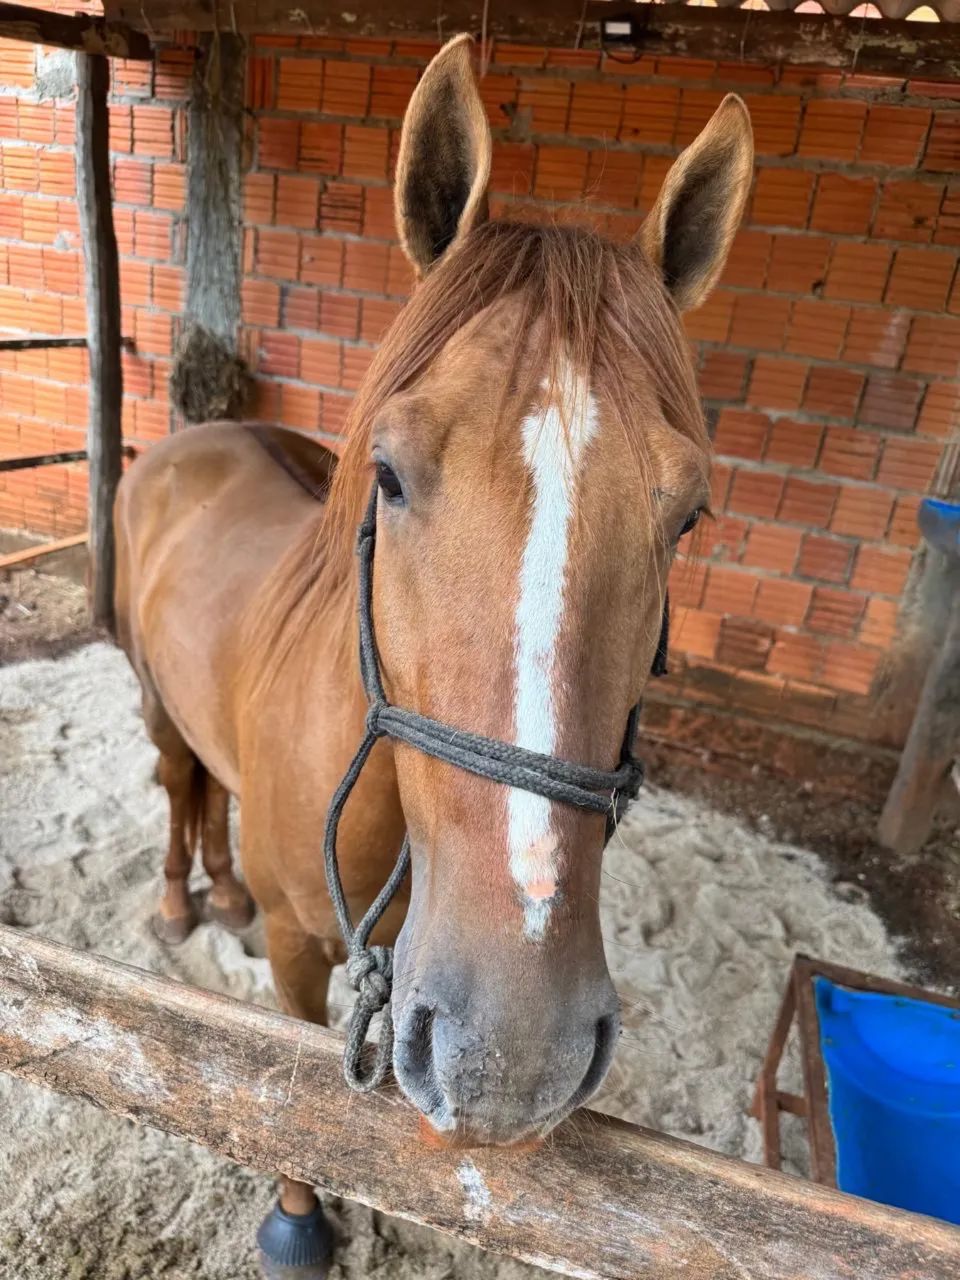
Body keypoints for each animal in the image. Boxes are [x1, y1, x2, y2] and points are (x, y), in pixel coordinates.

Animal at [113, 34, 753, 1277]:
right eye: (392, 475)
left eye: (688, 514)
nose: (513, 1051)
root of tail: (193, 437)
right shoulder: (304, 960)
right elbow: (296, 1102)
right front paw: (299, 1221)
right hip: (155, 700)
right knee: (173, 780)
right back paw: (178, 900)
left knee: (208, 789)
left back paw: (221, 887)